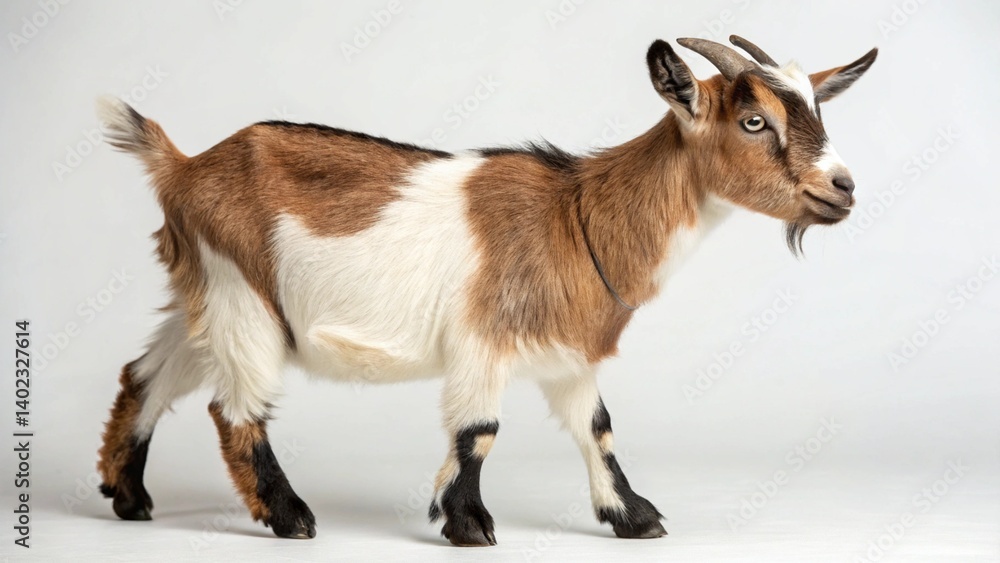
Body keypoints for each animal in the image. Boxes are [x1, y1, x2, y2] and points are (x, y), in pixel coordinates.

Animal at [95, 35, 876, 545]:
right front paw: (468, 522)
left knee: (145, 374)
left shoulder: (569, 353)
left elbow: (598, 428)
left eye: (817, 112)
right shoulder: (481, 340)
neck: (577, 213)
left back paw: (127, 494)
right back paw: (289, 516)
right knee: (235, 409)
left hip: (203, 294)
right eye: (755, 121)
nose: (843, 188)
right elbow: (480, 431)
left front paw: (633, 516)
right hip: (242, 296)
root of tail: (184, 165)